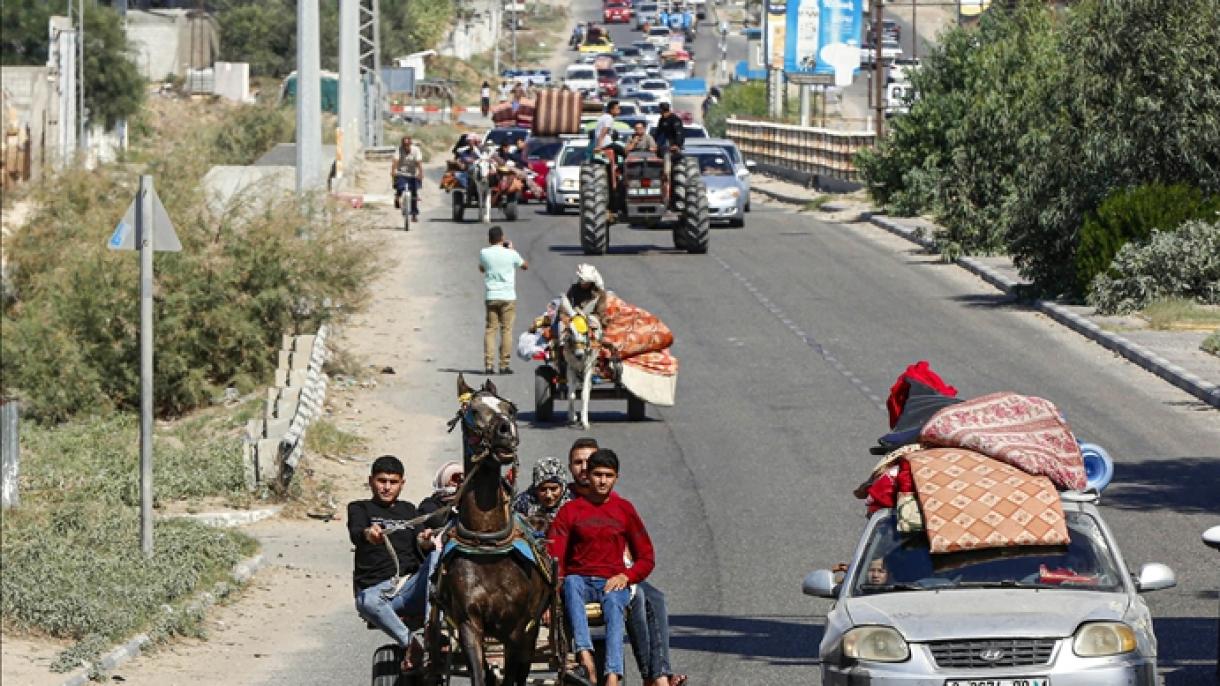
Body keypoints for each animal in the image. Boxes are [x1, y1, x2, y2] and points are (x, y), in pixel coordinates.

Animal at [429, 373, 558, 683]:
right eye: (474, 411)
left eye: (510, 408)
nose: (505, 431)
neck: (487, 543)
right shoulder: (468, 624)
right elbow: (479, 674)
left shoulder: (518, 628)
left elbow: (512, 676)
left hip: (531, 630)